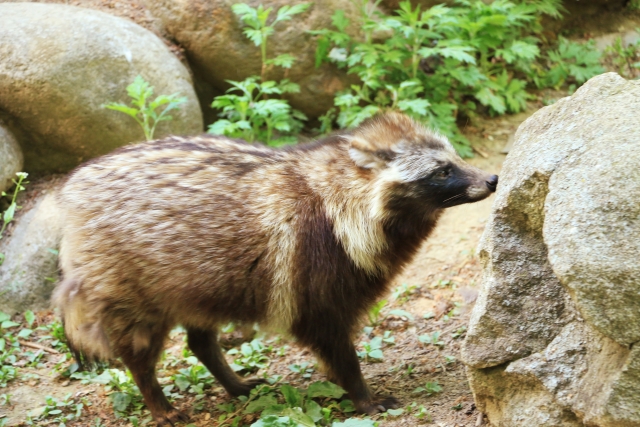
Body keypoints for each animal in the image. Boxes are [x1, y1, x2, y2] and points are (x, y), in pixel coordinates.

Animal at [52, 112, 498, 426]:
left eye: (455, 158)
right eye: (442, 171)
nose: (493, 178)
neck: (342, 194)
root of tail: (72, 189)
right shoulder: (316, 268)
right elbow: (333, 340)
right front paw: (360, 392)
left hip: (203, 277)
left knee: (200, 337)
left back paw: (229, 378)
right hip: (127, 279)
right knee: (139, 345)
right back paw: (155, 396)